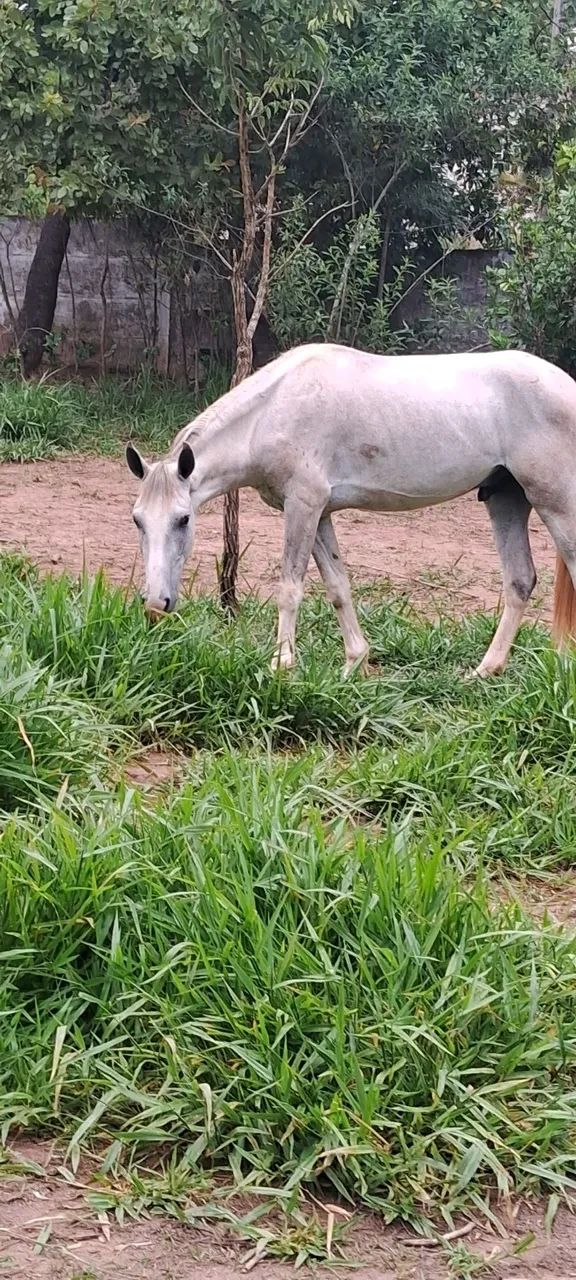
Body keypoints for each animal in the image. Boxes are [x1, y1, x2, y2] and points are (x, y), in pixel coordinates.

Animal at [125, 342, 576, 677]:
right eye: (138, 521)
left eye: (184, 519)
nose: (156, 604)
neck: (275, 408)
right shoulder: (319, 513)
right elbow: (338, 587)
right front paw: (354, 661)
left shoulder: (303, 506)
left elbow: (290, 588)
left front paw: (281, 665)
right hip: (507, 499)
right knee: (519, 581)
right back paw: (485, 671)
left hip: (555, 503)